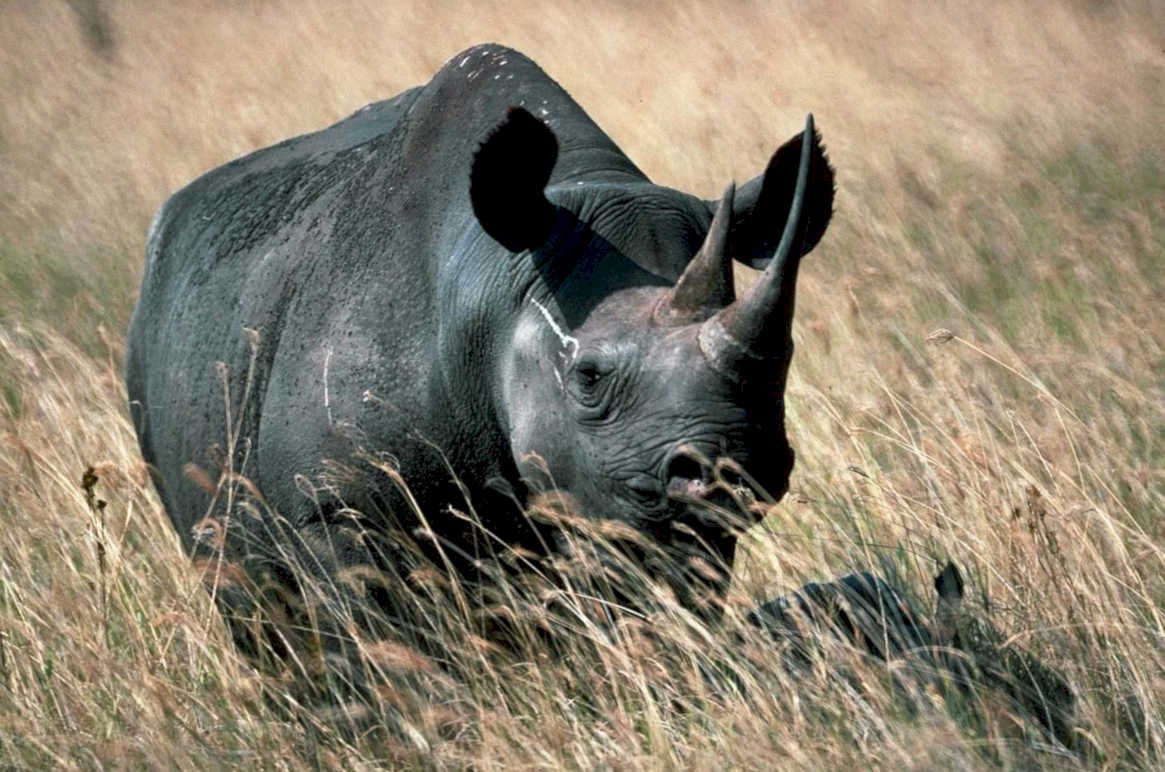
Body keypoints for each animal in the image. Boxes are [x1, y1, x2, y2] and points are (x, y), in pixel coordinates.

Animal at [125, 43, 834, 653]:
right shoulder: (335, 506)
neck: (494, 291)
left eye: (784, 363)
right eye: (588, 377)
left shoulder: (635, 507)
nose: (733, 468)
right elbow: (386, 657)